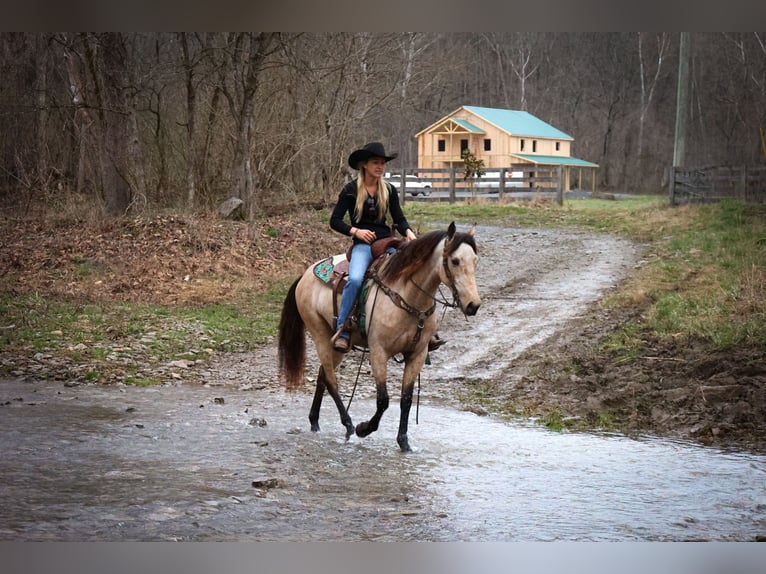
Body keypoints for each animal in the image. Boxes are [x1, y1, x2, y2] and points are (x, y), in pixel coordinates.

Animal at [280, 223, 484, 452]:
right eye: (455, 261)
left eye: (475, 260)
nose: (473, 305)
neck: (408, 295)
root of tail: (305, 275)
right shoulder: (378, 352)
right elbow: (383, 400)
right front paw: (364, 429)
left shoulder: (418, 354)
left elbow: (406, 399)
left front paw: (404, 442)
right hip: (320, 336)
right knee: (331, 381)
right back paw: (349, 425)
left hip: (337, 346)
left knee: (323, 376)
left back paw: (315, 422)